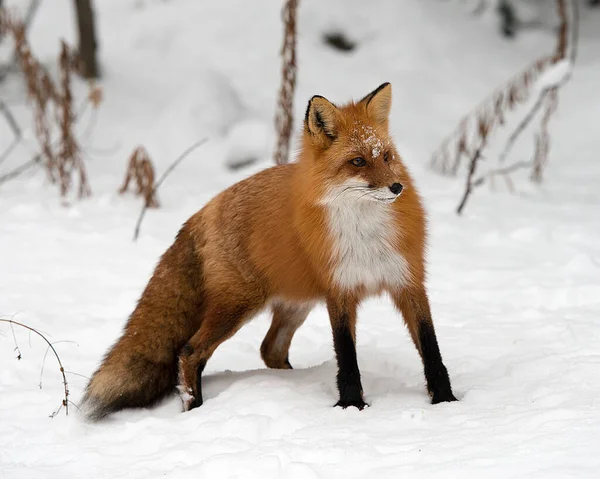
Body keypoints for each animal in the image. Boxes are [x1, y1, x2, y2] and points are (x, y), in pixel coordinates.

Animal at [82, 84, 458, 422]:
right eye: (357, 161)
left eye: (386, 157)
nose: (397, 187)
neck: (365, 235)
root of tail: (204, 209)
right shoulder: (339, 291)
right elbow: (346, 356)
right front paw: (352, 406)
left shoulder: (408, 282)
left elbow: (431, 348)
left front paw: (445, 402)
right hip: (239, 305)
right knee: (190, 352)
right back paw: (195, 410)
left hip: (294, 304)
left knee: (270, 348)